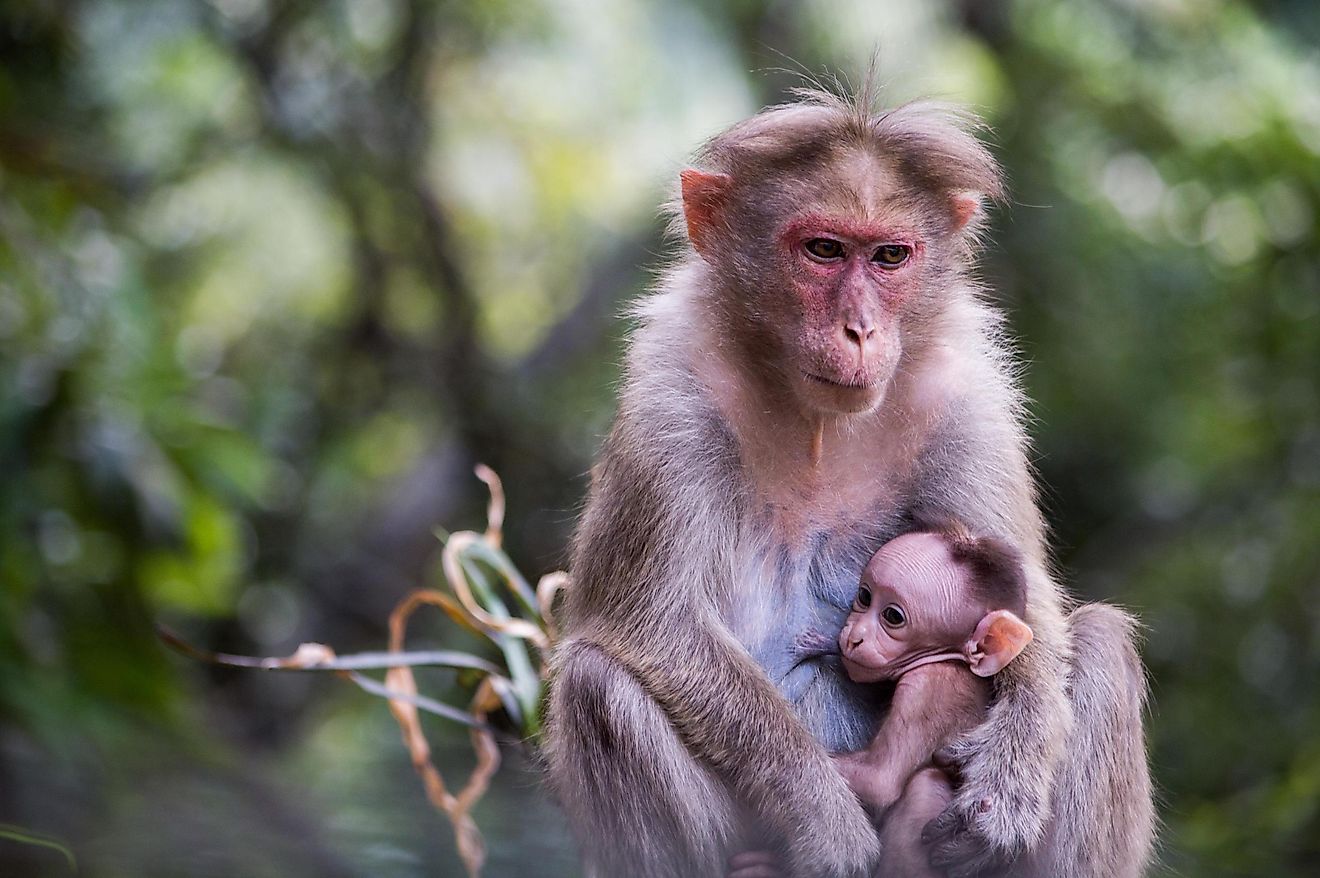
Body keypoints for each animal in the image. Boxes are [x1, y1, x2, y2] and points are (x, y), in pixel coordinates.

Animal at [733, 528, 1029, 876]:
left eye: (892, 616)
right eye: (864, 597)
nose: (854, 637)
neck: (949, 660)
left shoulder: (925, 691)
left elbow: (880, 779)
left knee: (924, 788)